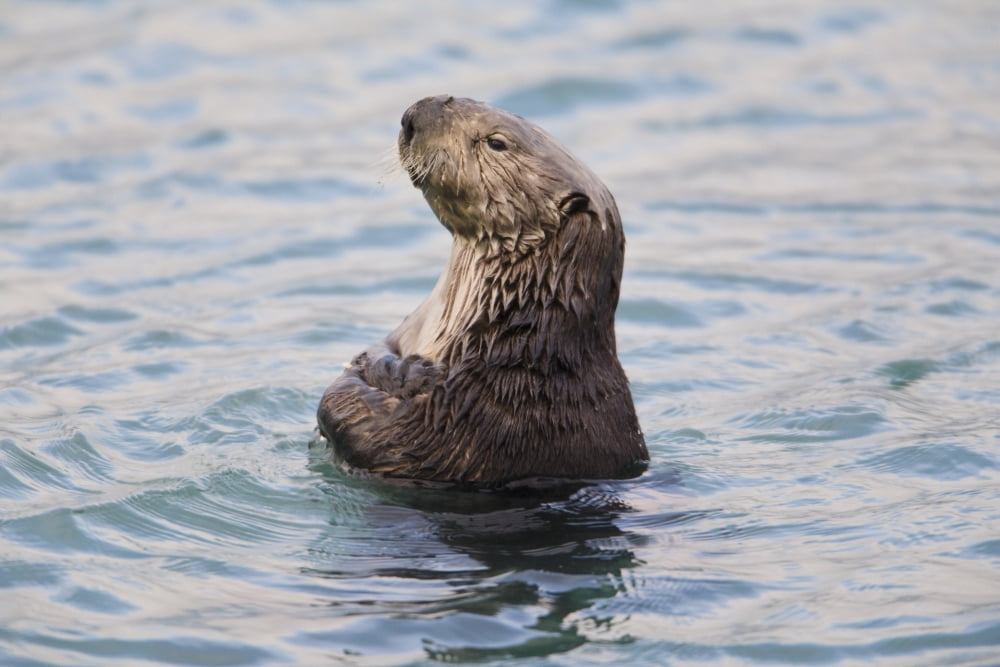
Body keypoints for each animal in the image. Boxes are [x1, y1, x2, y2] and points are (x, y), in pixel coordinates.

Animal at [317, 95, 647, 486]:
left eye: (497, 143)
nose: (412, 117)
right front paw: (398, 367)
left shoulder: (478, 422)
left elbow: (380, 433)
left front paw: (408, 375)